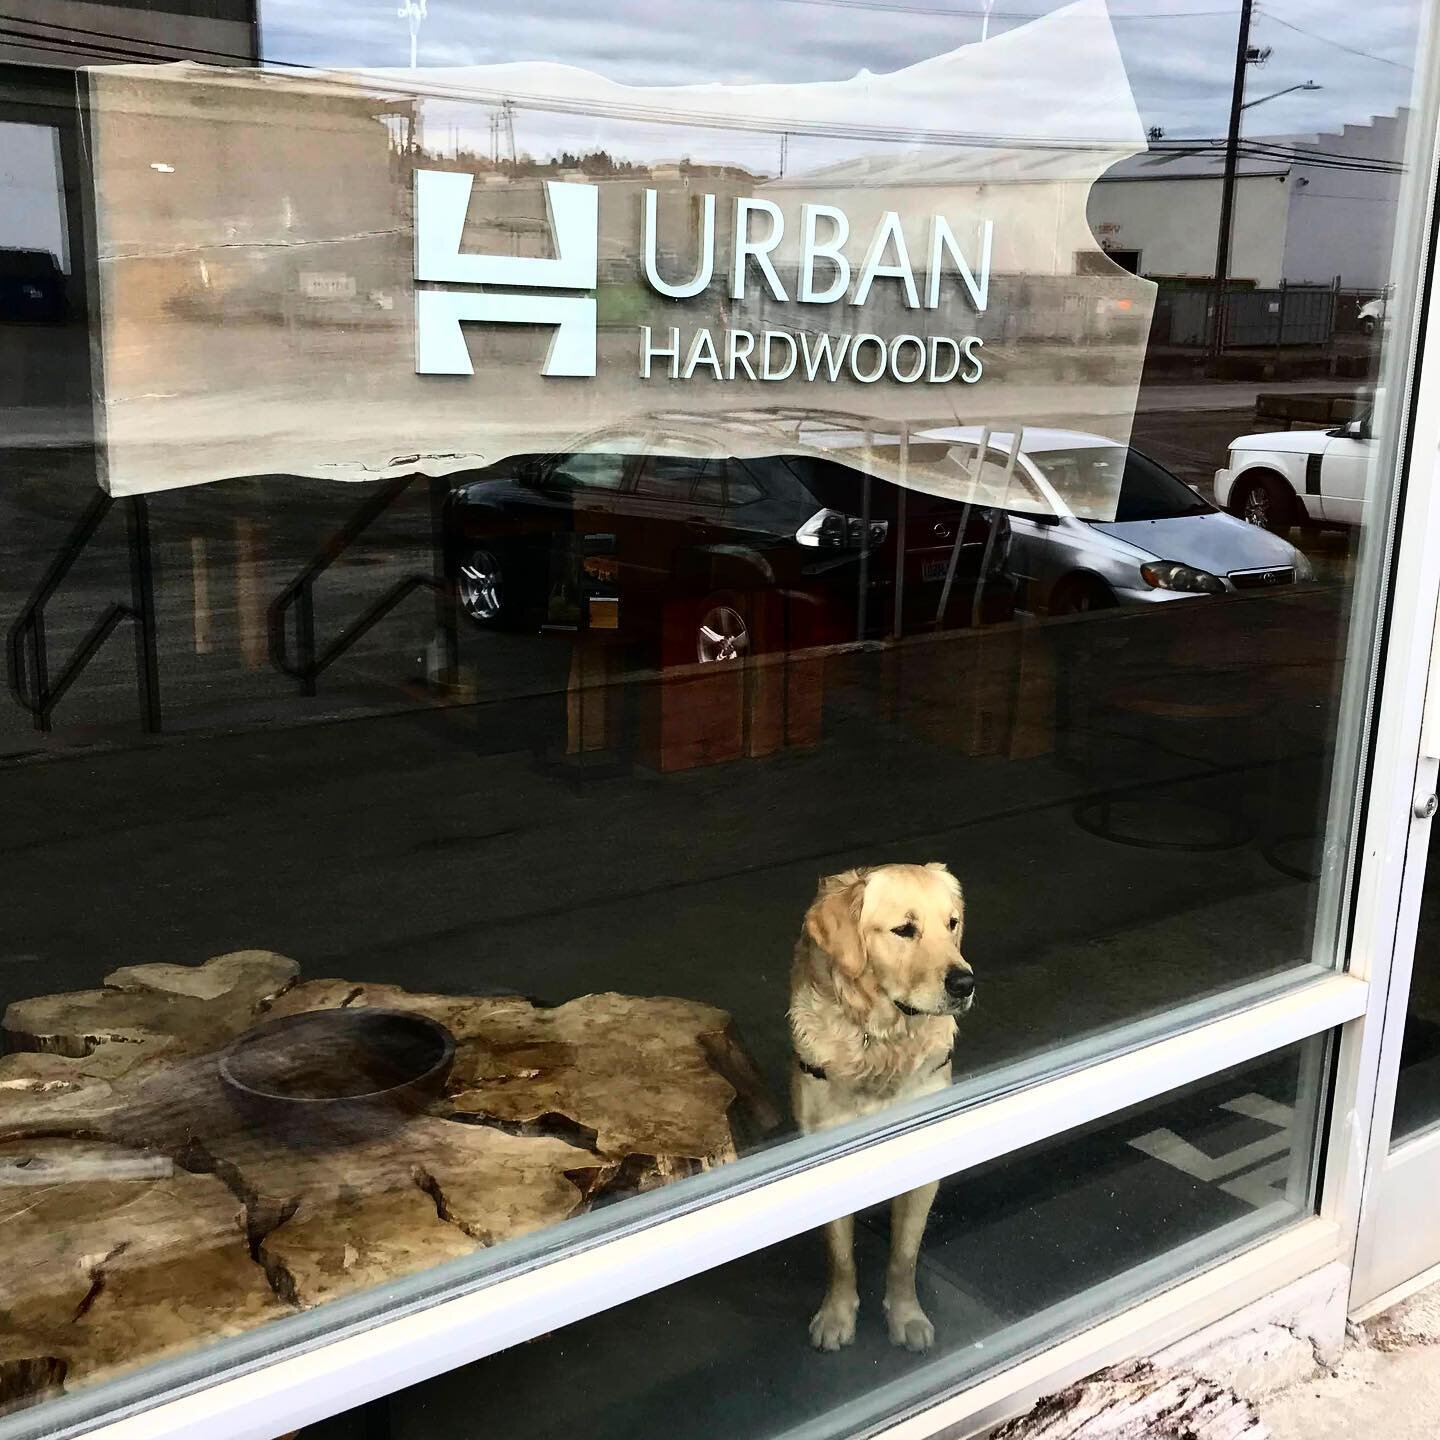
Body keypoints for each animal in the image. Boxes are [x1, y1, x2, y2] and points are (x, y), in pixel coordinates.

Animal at [789, 864, 979, 1347]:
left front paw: (906, 1316)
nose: (965, 983)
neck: (882, 1042)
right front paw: (837, 1316)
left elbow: (904, 1255)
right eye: (904, 930)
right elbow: (840, 1257)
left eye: (952, 924)